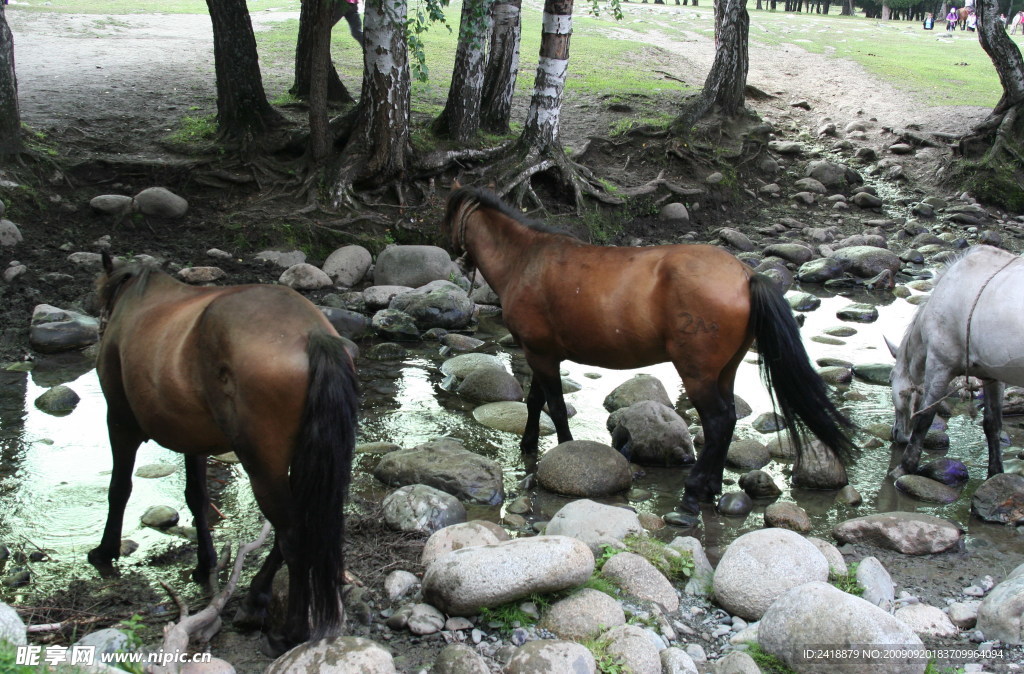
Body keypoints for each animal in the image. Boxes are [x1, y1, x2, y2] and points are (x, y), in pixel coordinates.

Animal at [89, 251, 360, 651]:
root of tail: (310, 333)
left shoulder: (119, 423)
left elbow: (119, 490)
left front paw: (104, 552)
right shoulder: (192, 441)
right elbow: (197, 497)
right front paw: (205, 563)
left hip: (262, 465)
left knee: (293, 535)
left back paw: (290, 632)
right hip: (298, 462)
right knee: (295, 528)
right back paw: (256, 598)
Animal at [444, 186, 851, 522]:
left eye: (447, 216)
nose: (452, 256)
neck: (527, 261)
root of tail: (745, 275)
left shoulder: (542, 355)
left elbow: (555, 407)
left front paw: (564, 451)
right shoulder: (538, 353)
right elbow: (534, 402)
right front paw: (528, 445)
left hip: (696, 372)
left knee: (718, 421)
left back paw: (693, 494)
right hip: (726, 370)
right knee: (728, 420)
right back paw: (711, 487)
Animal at [884, 245, 1019, 477]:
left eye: (891, 379)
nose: (897, 434)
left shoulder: (939, 366)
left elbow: (925, 417)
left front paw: (905, 467)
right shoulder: (992, 375)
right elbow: (992, 424)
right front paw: (994, 473)